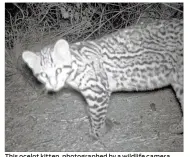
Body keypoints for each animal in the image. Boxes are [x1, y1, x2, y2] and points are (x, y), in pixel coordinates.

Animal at [21, 19, 183, 139]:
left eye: (58, 70)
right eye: (43, 74)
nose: (53, 85)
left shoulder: (98, 92)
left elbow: (97, 116)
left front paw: (97, 133)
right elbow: (92, 113)